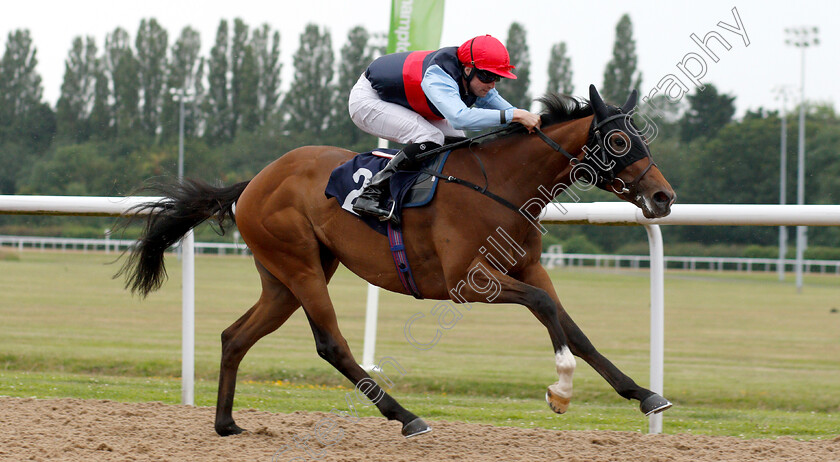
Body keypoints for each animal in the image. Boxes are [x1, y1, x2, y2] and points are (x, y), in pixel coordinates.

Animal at [118, 85, 676, 436]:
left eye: (643, 137)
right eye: (620, 140)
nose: (664, 197)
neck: (503, 184)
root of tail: (254, 181)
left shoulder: (527, 266)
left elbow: (570, 326)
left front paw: (644, 393)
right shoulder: (467, 281)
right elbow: (543, 306)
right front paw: (560, 389)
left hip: (284, 277)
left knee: (234, 336)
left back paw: (226, 423)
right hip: (299, 266)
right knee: (331, 345)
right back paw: (406, 417)